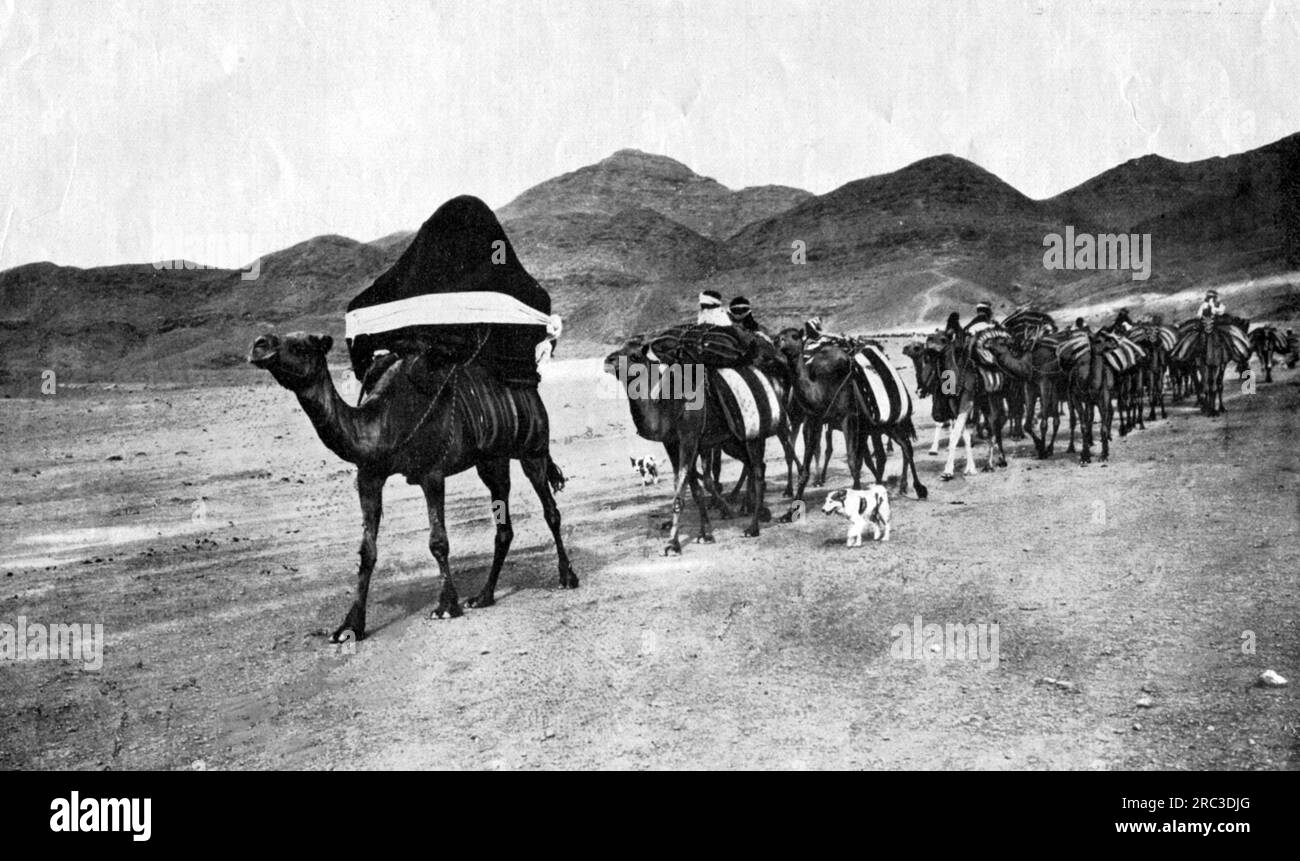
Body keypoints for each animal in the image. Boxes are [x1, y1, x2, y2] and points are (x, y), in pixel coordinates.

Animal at [248, 330, 574, 639]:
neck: (385, 421)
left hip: (533, 447)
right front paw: (349, 626)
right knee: (504, 522)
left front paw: (446, 606)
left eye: (301, 346)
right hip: (492, 458)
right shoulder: (368, 476)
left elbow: (438, 542)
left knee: (550, 510)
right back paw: (483, 597)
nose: (259, 344)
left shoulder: (432, 473)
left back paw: (567, 578)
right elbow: (367, 551)